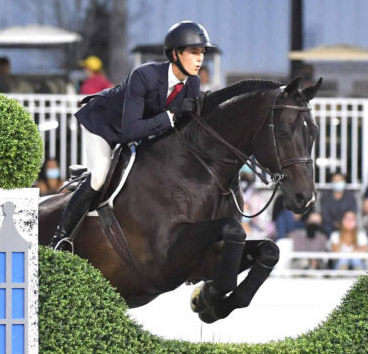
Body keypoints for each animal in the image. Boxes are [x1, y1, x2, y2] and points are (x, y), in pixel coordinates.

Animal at [38, 76, 322, 324]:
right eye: (283, 133)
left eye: (315, 132)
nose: (305, 198)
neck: (200, 169)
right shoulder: (164, 260)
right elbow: (234, 231)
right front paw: (210, 296)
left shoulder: (205, 258)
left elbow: (269, 250)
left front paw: (207, 301)